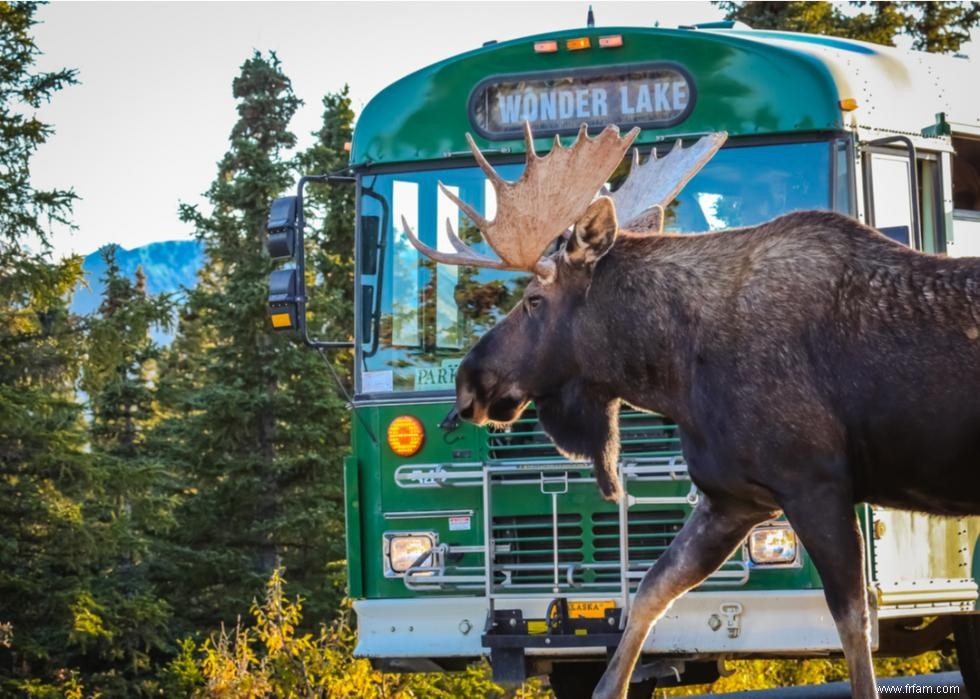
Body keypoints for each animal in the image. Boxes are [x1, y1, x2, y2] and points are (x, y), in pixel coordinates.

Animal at [400, 124, 980, 699]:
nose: (468, 383)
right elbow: (650, 592)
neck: (675, 372)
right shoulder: (732, 498)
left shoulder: (815, 484)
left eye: (533, 300)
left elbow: (853, 625)